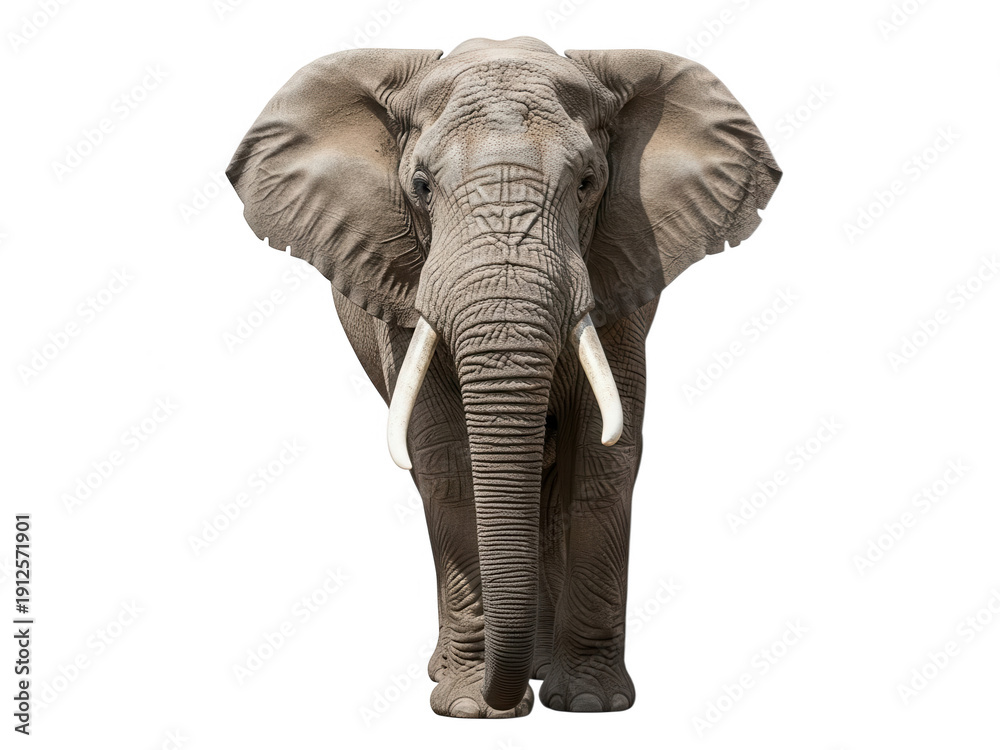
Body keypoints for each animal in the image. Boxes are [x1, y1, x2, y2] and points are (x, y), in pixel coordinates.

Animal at [226, 36, 780, 718]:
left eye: (588, 183)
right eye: (420, 185)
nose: (503, 693)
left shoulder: (622, 268)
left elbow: (605, 457)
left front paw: (590, 704)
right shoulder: (403, 285)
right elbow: (445, 461)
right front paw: (471, 707)